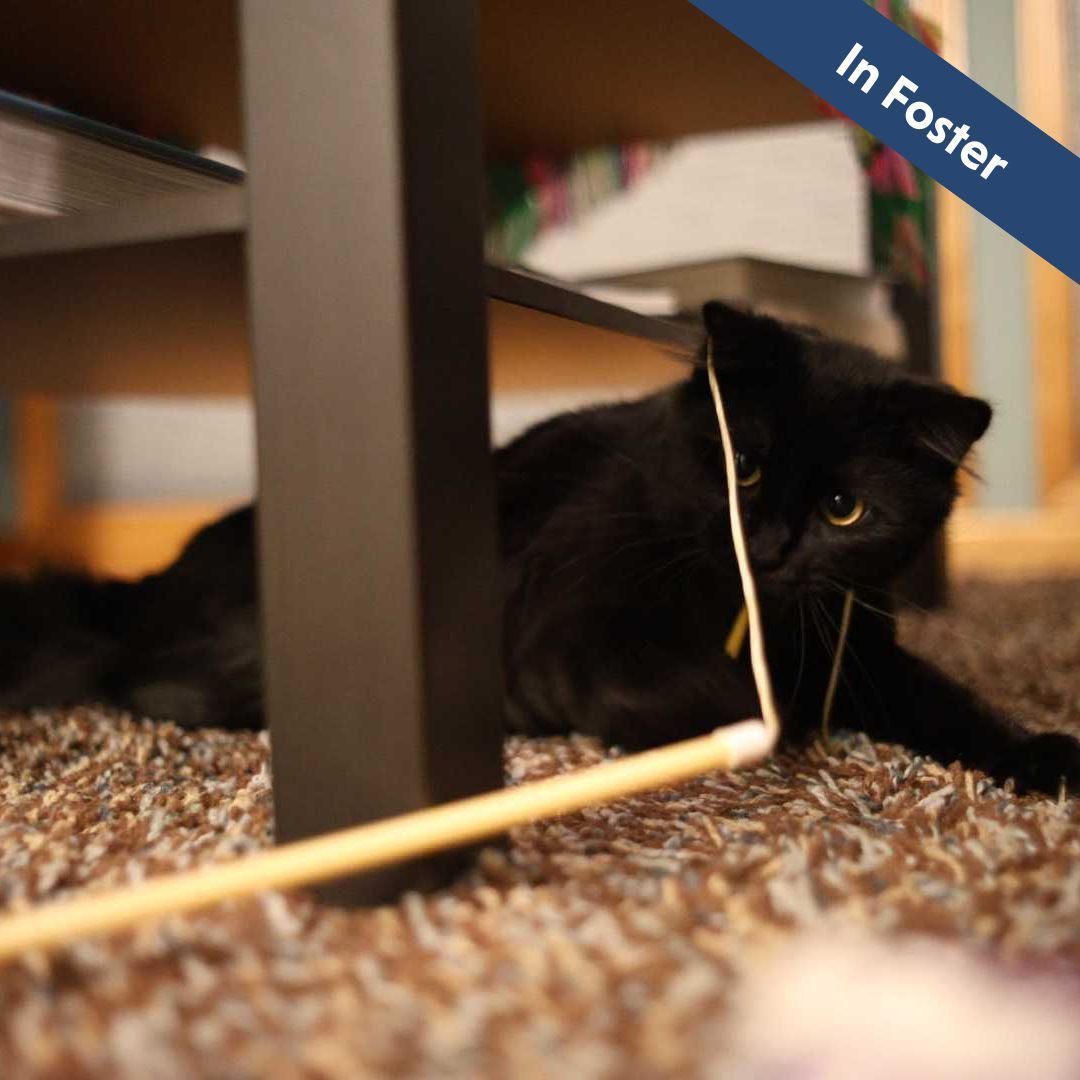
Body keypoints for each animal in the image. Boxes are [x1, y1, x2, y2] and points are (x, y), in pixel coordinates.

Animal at [2, 304, 1080, 794]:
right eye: (745, 467)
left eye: (846, 510)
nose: (771, 548)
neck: (764, 625)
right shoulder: (579, 641)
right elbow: (711, 698)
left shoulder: (865, 651)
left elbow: (956, 707)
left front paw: (1045, 757)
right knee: (147, 685)